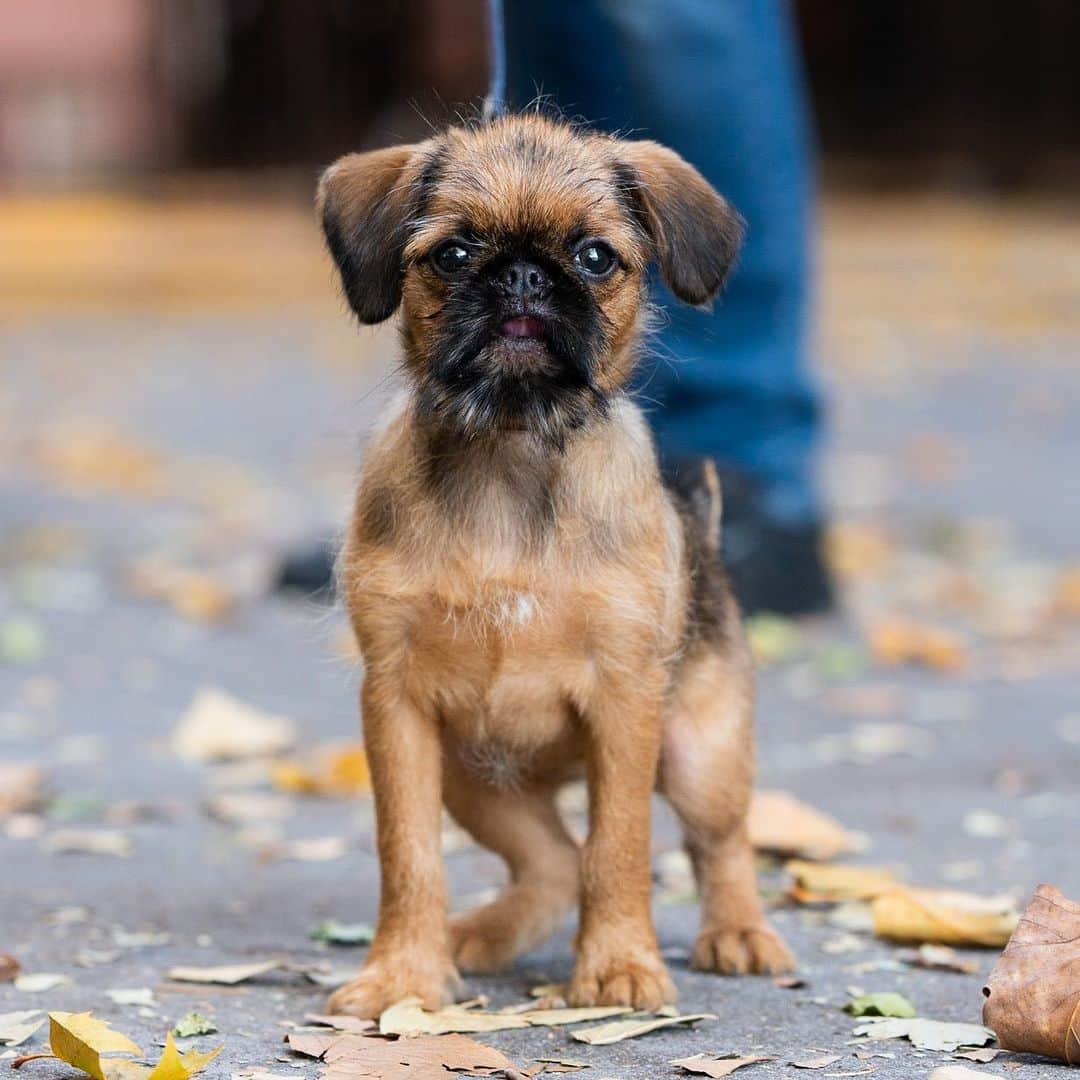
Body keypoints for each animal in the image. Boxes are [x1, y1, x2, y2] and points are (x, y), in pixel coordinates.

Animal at [319, 113, 794, 1015]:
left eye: (596, 257)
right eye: (454, 254)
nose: (523, 277)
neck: (510, 446)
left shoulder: (626, 702)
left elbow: (620, 845)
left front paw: (617, 966)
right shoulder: (396, 711)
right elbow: (408, 854)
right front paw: (400, 976)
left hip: (700, 751)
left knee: (718, 840)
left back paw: (739, 932)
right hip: (476, 776)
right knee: (551, 859)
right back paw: (481, 935)